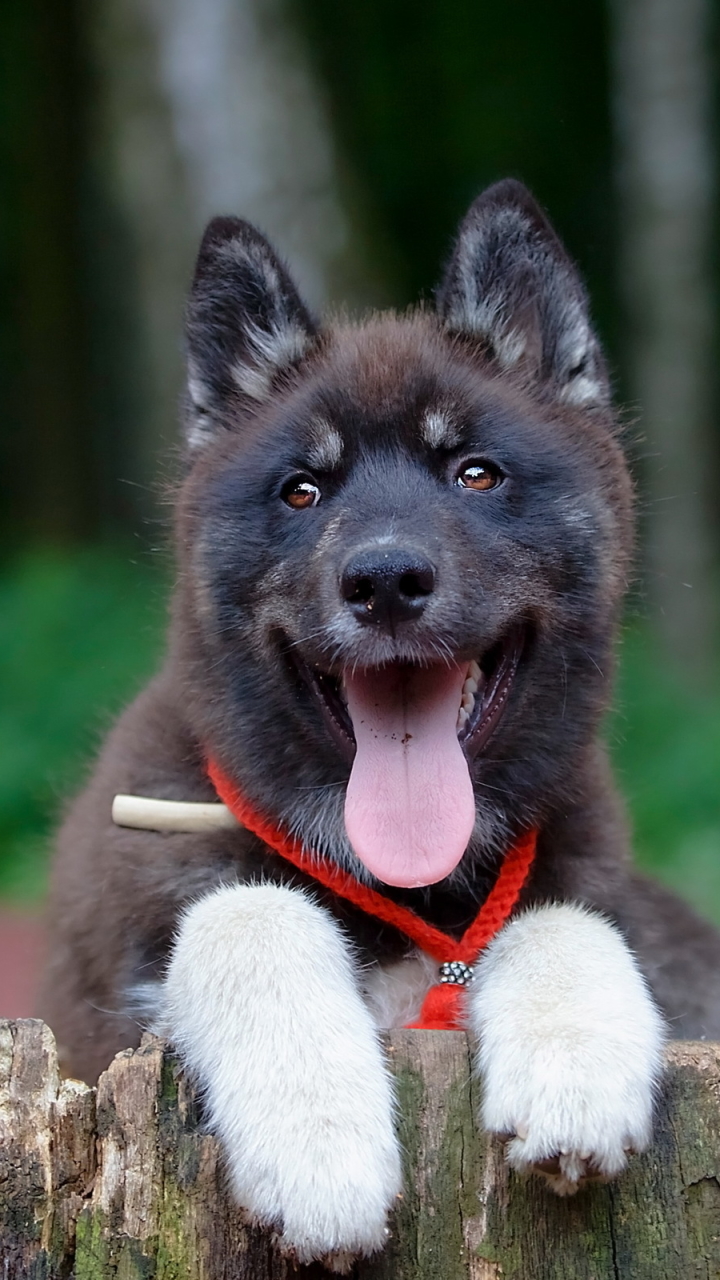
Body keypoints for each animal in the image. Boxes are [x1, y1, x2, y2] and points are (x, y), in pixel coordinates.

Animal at [37, 180, 717, 1269]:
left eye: (476, 473)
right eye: (302, 490)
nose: (387, 580)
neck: (409, 891)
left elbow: (562, 915)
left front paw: (572, 1068)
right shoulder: (121, 985)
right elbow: (247, 910)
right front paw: (319, 1148)